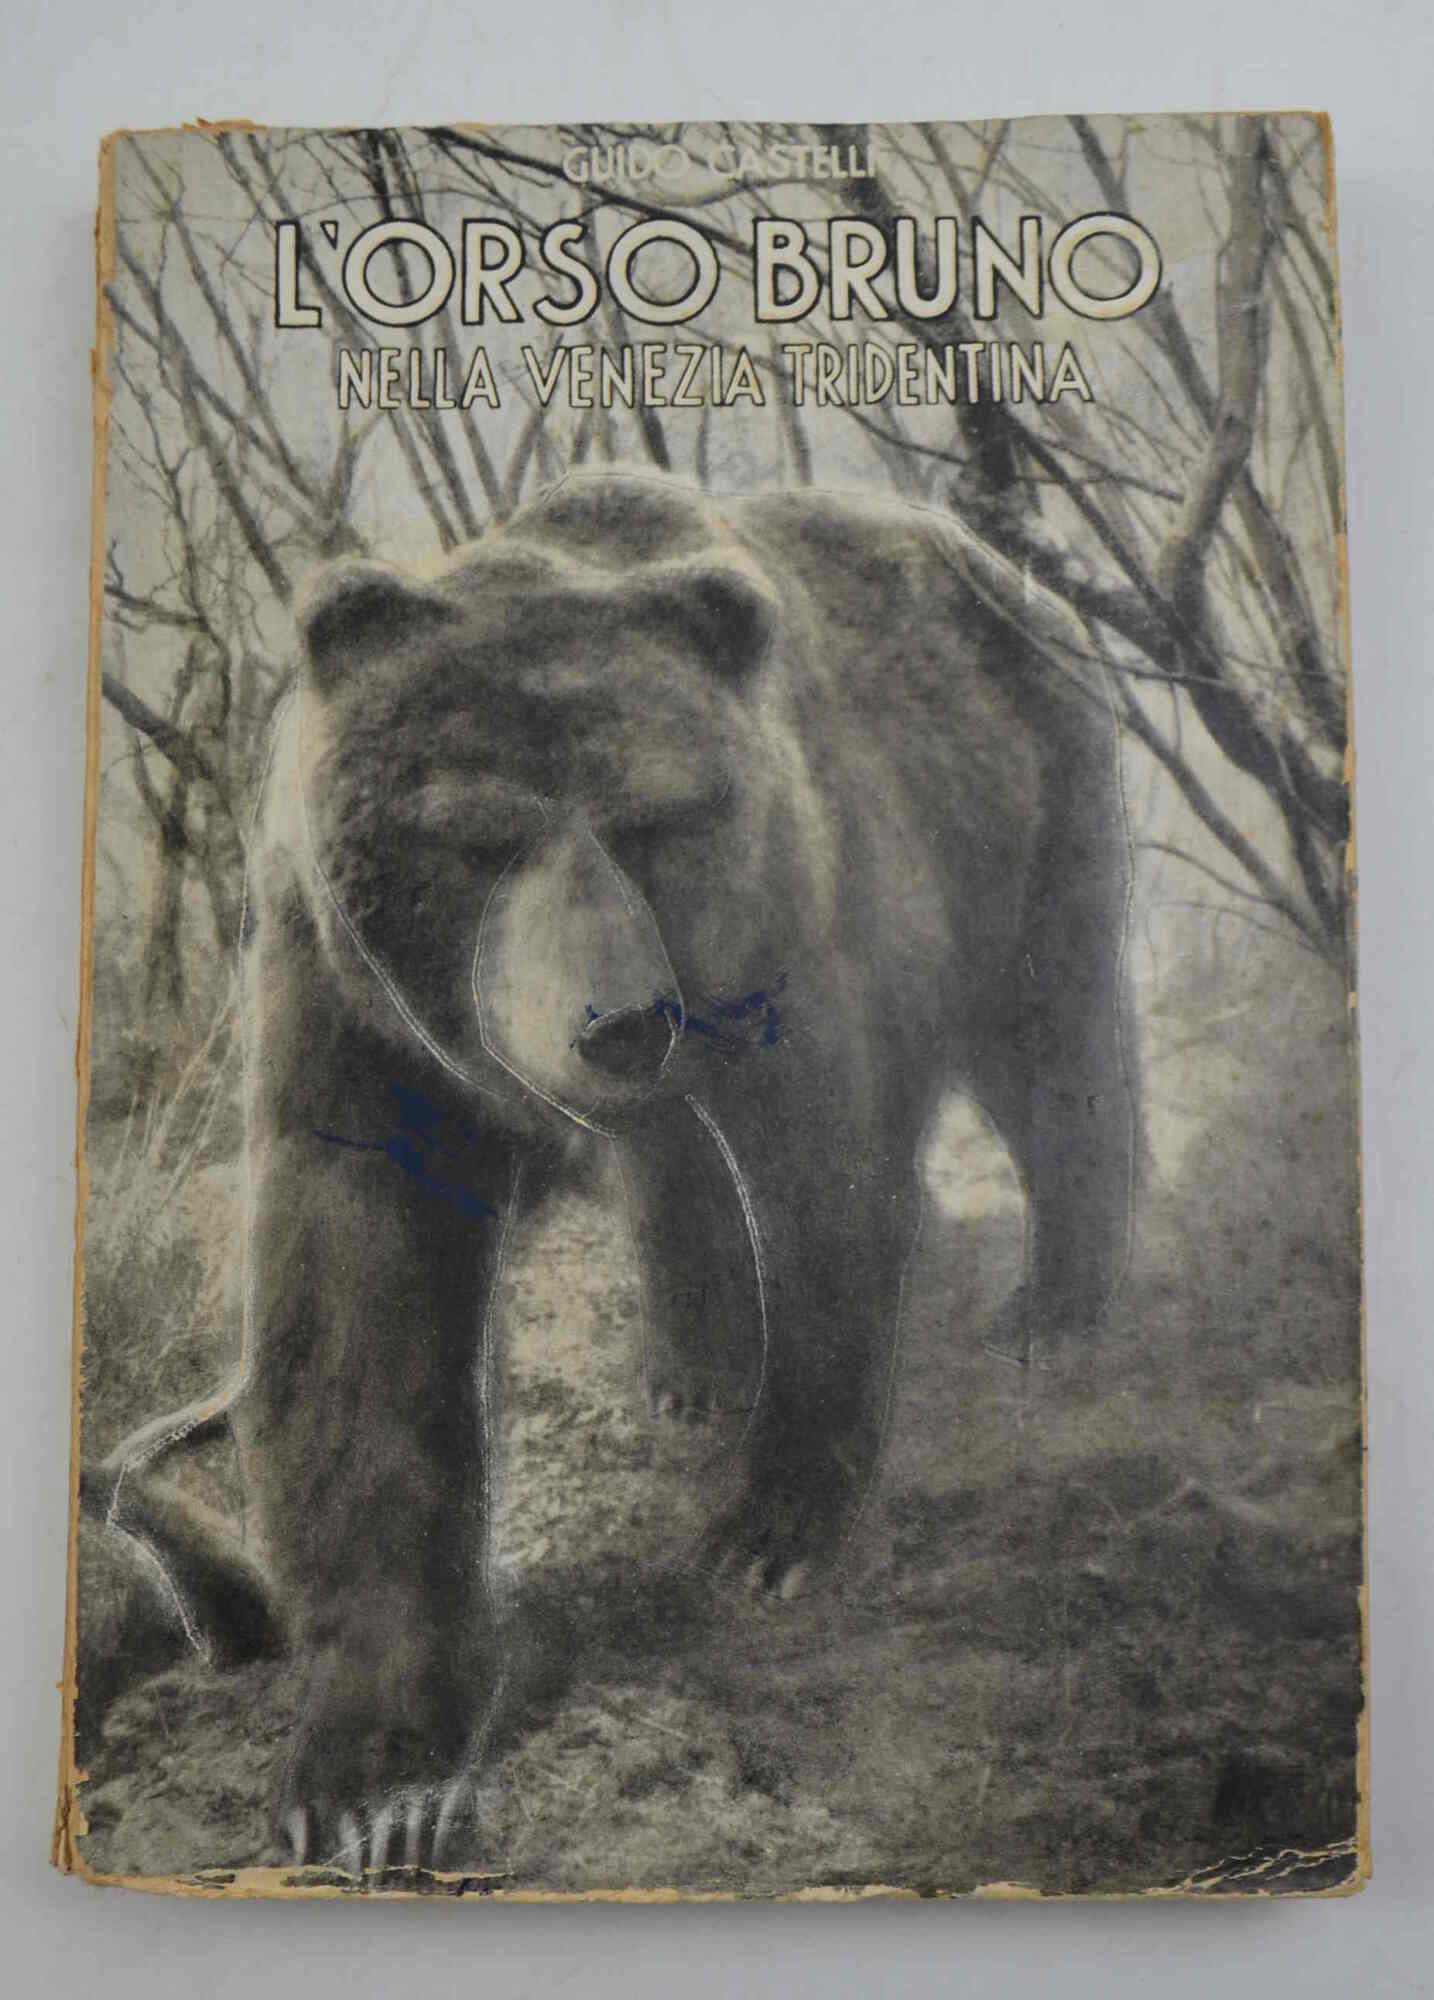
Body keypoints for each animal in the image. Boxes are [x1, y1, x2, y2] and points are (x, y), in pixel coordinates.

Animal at [231, 470, 1137, 1872]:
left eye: (650, 822)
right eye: (481, 833)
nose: (618, 1020)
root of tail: (1008, 572)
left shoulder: (787, 919)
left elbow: (824, 1186)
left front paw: (767, 1530)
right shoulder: (351, 1007)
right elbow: (354, 1308)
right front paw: (373, 1774)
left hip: (1027, 805)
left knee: (1051, 1039)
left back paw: (1060, 1297)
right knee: (676, 1171)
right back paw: (691, 1370)